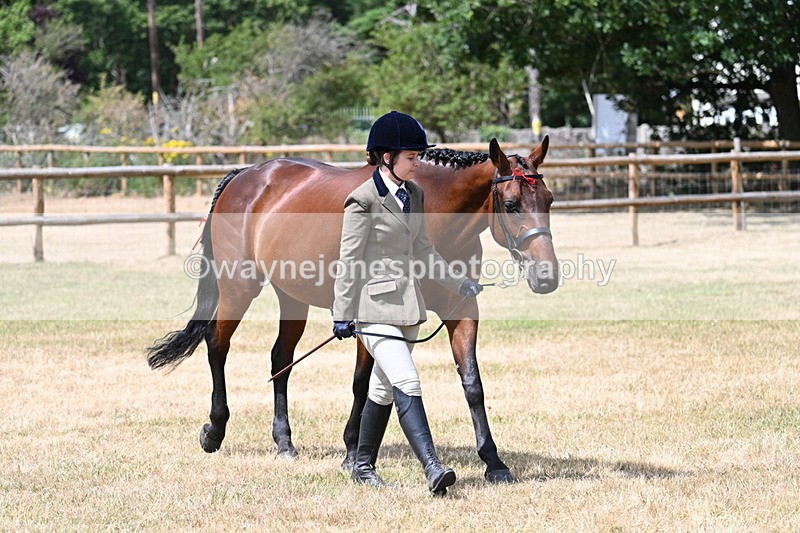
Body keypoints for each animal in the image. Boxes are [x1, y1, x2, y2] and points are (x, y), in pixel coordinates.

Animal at [147, 137, 558, 483]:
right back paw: (214, 431)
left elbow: (471, 384)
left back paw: (284, 442)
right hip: (238, 288)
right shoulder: (369, 316)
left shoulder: (461, 307)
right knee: (217, 346)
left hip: (291, 298)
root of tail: (245, 175)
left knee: (281, 360)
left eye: (550, 201)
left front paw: (494, 463)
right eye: (511, 205)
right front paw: (351, 453)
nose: (547, 277)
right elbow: (363, 383)